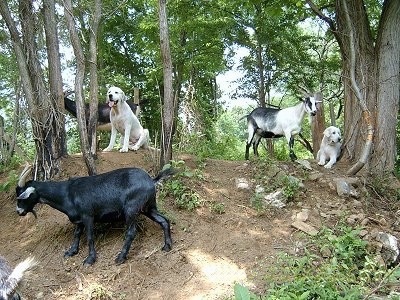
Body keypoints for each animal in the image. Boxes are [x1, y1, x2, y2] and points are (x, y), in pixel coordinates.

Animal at [15, 165, 175, 266]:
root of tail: (151, 180)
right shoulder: (79, 220)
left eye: (21, 197)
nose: (18, 212)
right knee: (164, 220)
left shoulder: (88, 216)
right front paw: (71, 251)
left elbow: (90, 237)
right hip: (148, 208)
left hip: (131, 208)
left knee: (131, 232)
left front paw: (90, 259)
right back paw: (167, 246)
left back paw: (121, 257)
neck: (67, 193)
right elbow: (76, 234)